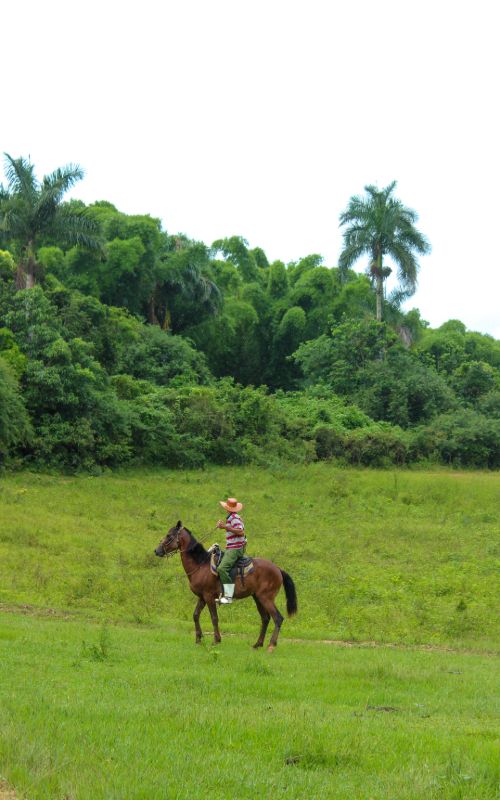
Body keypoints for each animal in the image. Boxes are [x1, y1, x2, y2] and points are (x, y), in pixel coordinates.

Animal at [154, 524, 298, 648]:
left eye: (169, 536)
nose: (157, 551)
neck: (200, 564)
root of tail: (278, 569)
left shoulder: (209, 596)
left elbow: (214, 618)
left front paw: (216, 640)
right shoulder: (202, 597)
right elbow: (195, 615)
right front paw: (198, 639)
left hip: (266, 598)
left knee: (277, 618)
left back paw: (271, 644)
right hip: (257, 598)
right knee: (265, 619)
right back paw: (258, 644)